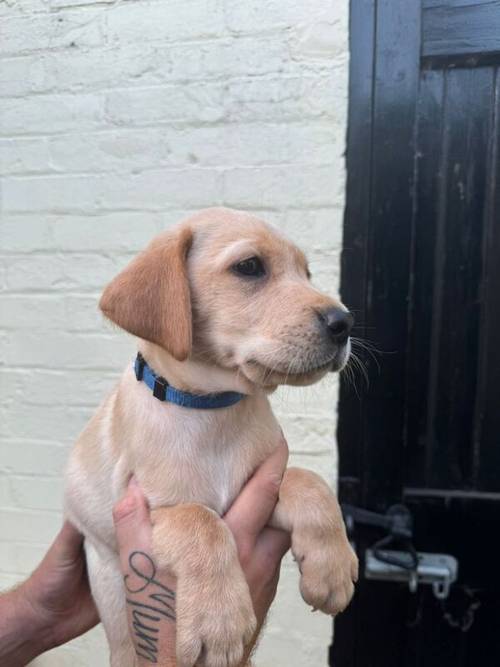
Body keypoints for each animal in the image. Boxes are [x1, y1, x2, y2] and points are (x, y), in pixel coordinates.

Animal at [64, 209, 358, 667]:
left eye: (306, 273)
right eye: (250, 266)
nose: (344, 323)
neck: (214, 410)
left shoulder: (262, 484)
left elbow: (306, 478)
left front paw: (333, 566)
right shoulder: (146, 508)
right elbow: (200, 521)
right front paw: (219, 621)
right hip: (109, 584)